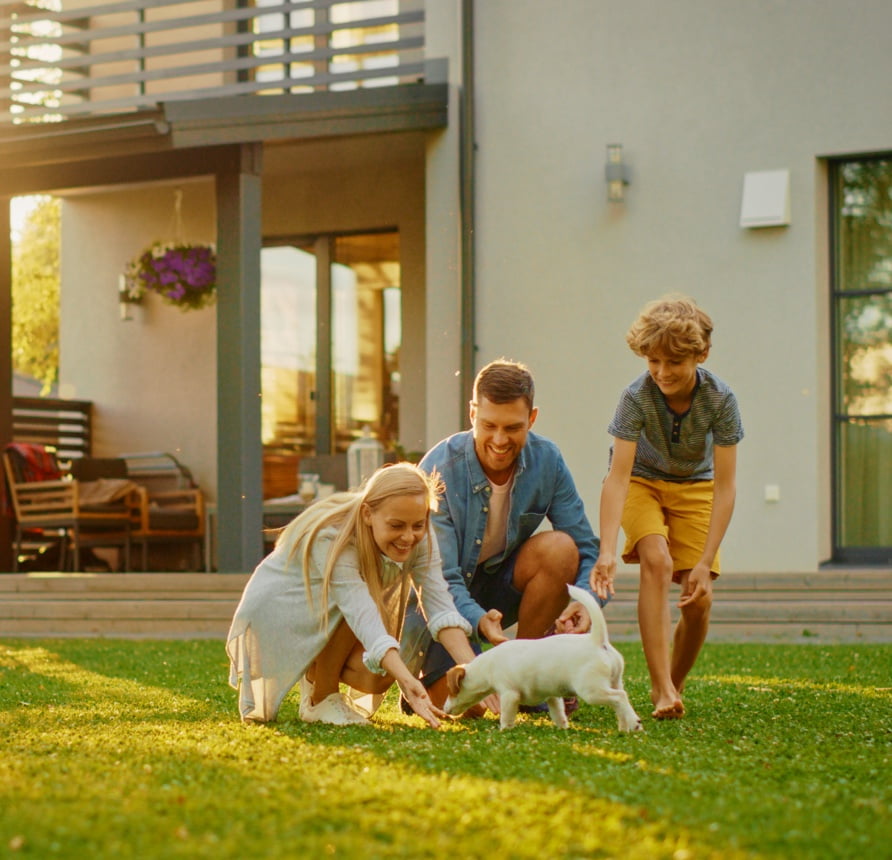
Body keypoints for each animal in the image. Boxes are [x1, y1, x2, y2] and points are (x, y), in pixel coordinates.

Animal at [440, 580, 636, 728]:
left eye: (450, 690)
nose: (443, 710)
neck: (487, 667)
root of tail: (597, 640)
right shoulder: (553, 696)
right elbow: (558, 713)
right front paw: (563, 728)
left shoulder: (509, 695)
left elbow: (507, 716)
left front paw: (503, 730)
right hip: (614, 681)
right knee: (621, 702)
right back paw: (626, 726)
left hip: (591, 690)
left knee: (619, 697)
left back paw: (633, 724)